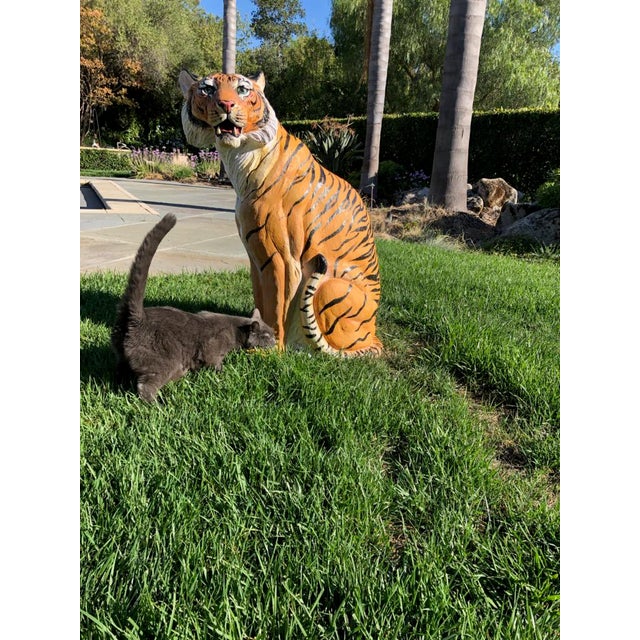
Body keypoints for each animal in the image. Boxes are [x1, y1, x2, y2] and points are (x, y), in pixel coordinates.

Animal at [178, 70, 382, 357]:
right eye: (207, 89)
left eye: (242, 90)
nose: (227, 105)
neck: (239, 157)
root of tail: (376, 338)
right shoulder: (255, 256)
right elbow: (261, 300)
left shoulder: (281, 258)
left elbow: (276, 305)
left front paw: (270, 349)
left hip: (329, 287)